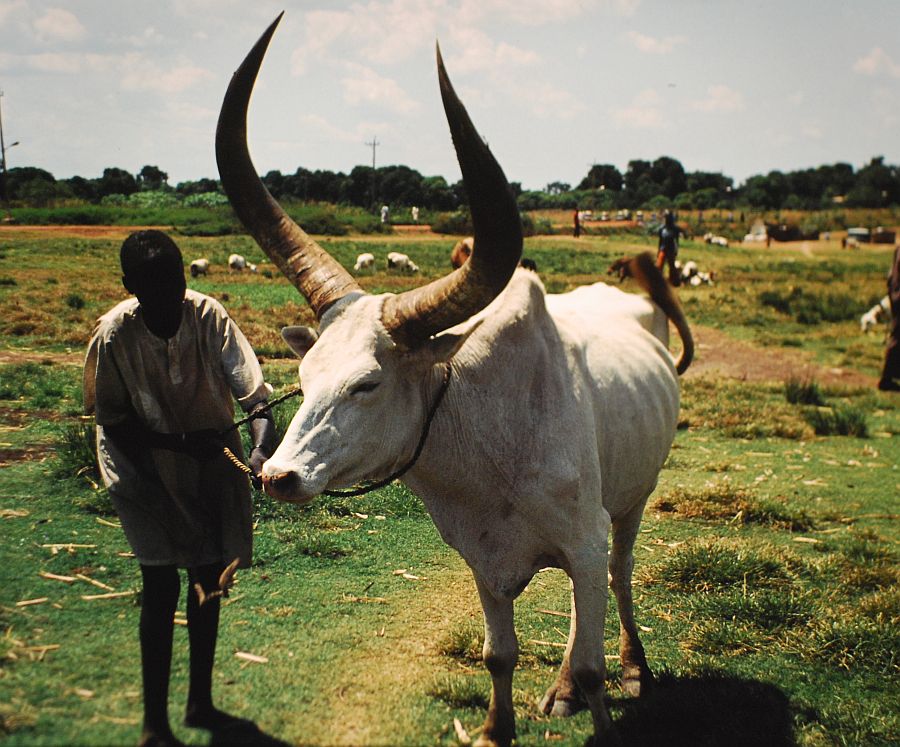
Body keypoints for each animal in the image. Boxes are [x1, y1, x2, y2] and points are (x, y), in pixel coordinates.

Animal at [216, 15, 693, 746]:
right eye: (305, 370)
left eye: (368, 384)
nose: (279, 476)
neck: (490, 441)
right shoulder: (481, 558)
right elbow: (500, 653)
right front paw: (499, 727)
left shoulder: (583, 540)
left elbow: (592, 655)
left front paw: (598, 704)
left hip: (632, 502)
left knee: (620, 579)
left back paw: (634, 667)